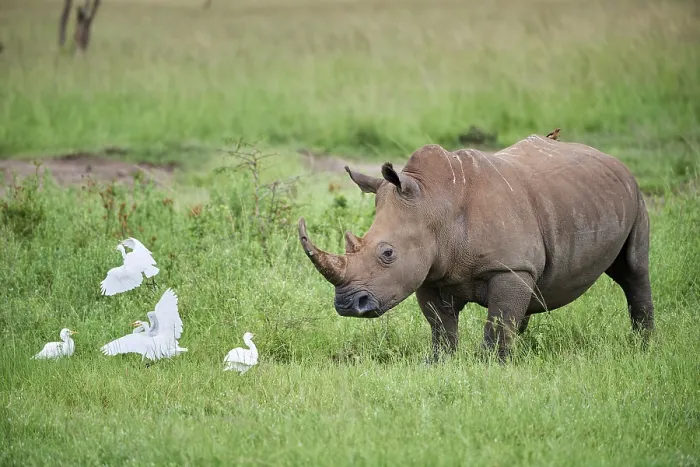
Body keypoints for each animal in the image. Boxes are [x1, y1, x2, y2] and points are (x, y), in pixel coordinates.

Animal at [298, 135, 654, 362]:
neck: (435, 204)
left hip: (634, 192)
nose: (347, 305)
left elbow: (499, 319)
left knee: (633, 269)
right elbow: (440, 325)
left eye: (388, 254)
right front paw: (439, 364)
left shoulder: (510, 267)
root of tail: (609, 157)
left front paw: (490, 365)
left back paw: (643, 346)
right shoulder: (429, 271)